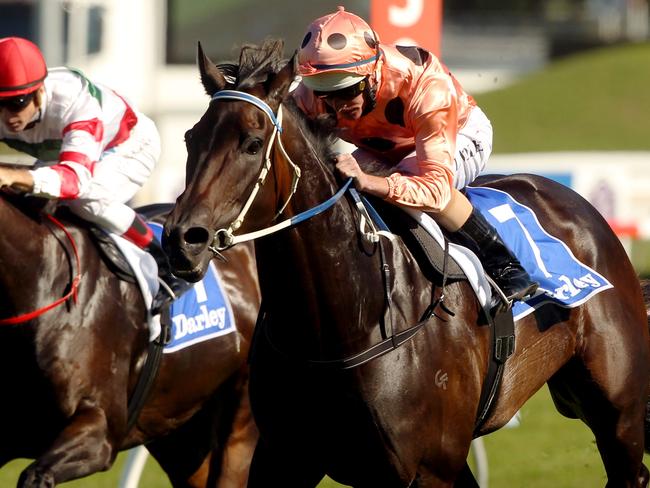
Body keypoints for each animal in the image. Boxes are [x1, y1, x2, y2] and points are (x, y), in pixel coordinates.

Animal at [162, 40, 648, 486]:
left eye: (252, 143)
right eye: (190, 138)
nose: (182, 240)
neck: (341, 326)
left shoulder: (425, 469)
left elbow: (432, 182)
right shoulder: (285, 458)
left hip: (616, 412)